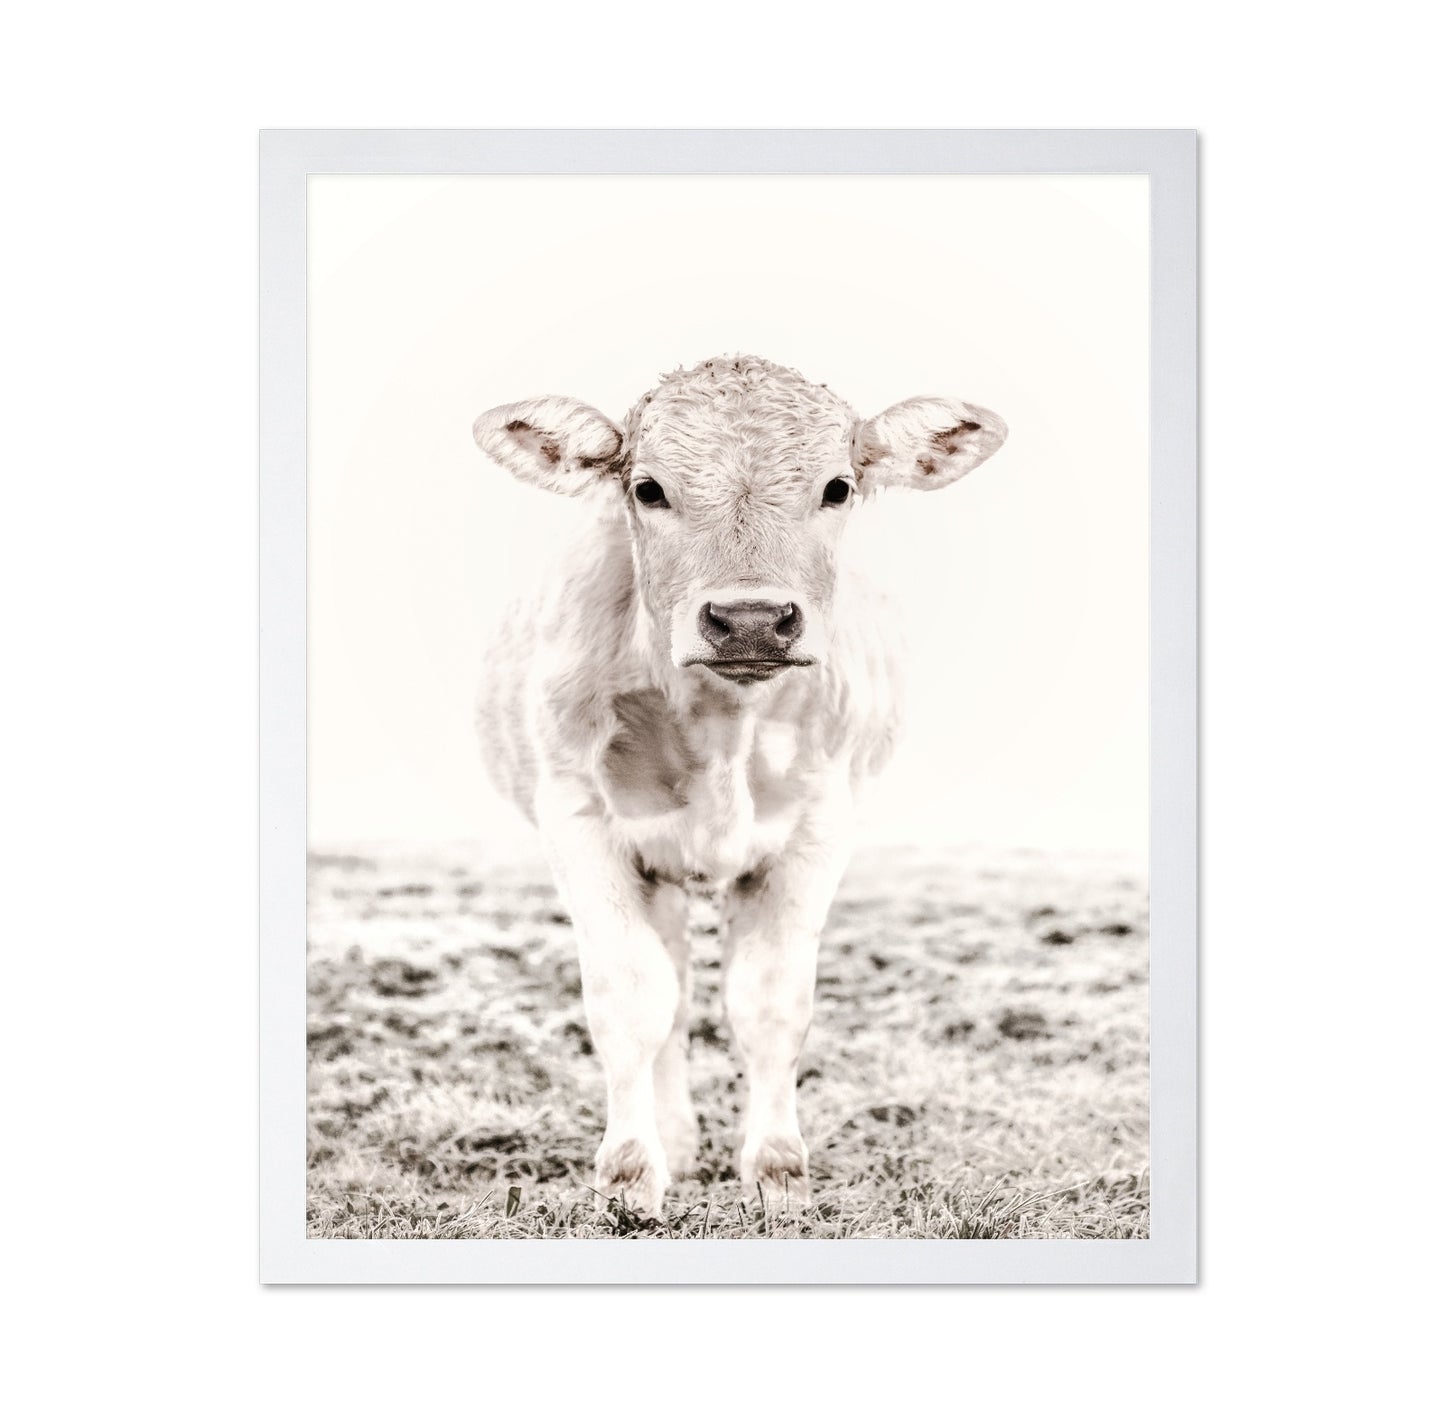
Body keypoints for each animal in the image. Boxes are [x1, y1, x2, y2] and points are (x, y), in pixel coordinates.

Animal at [472, 355, 1007, 1216]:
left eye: (837, 487)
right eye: (647, 488)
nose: (750, 619)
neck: (722, 725)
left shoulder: (818, 829)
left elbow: (770, 1001)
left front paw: (778, 1169)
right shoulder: (579, 820)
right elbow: (631, 997)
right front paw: (631, 1170)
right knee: (672, 995)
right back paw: (675, 1139)